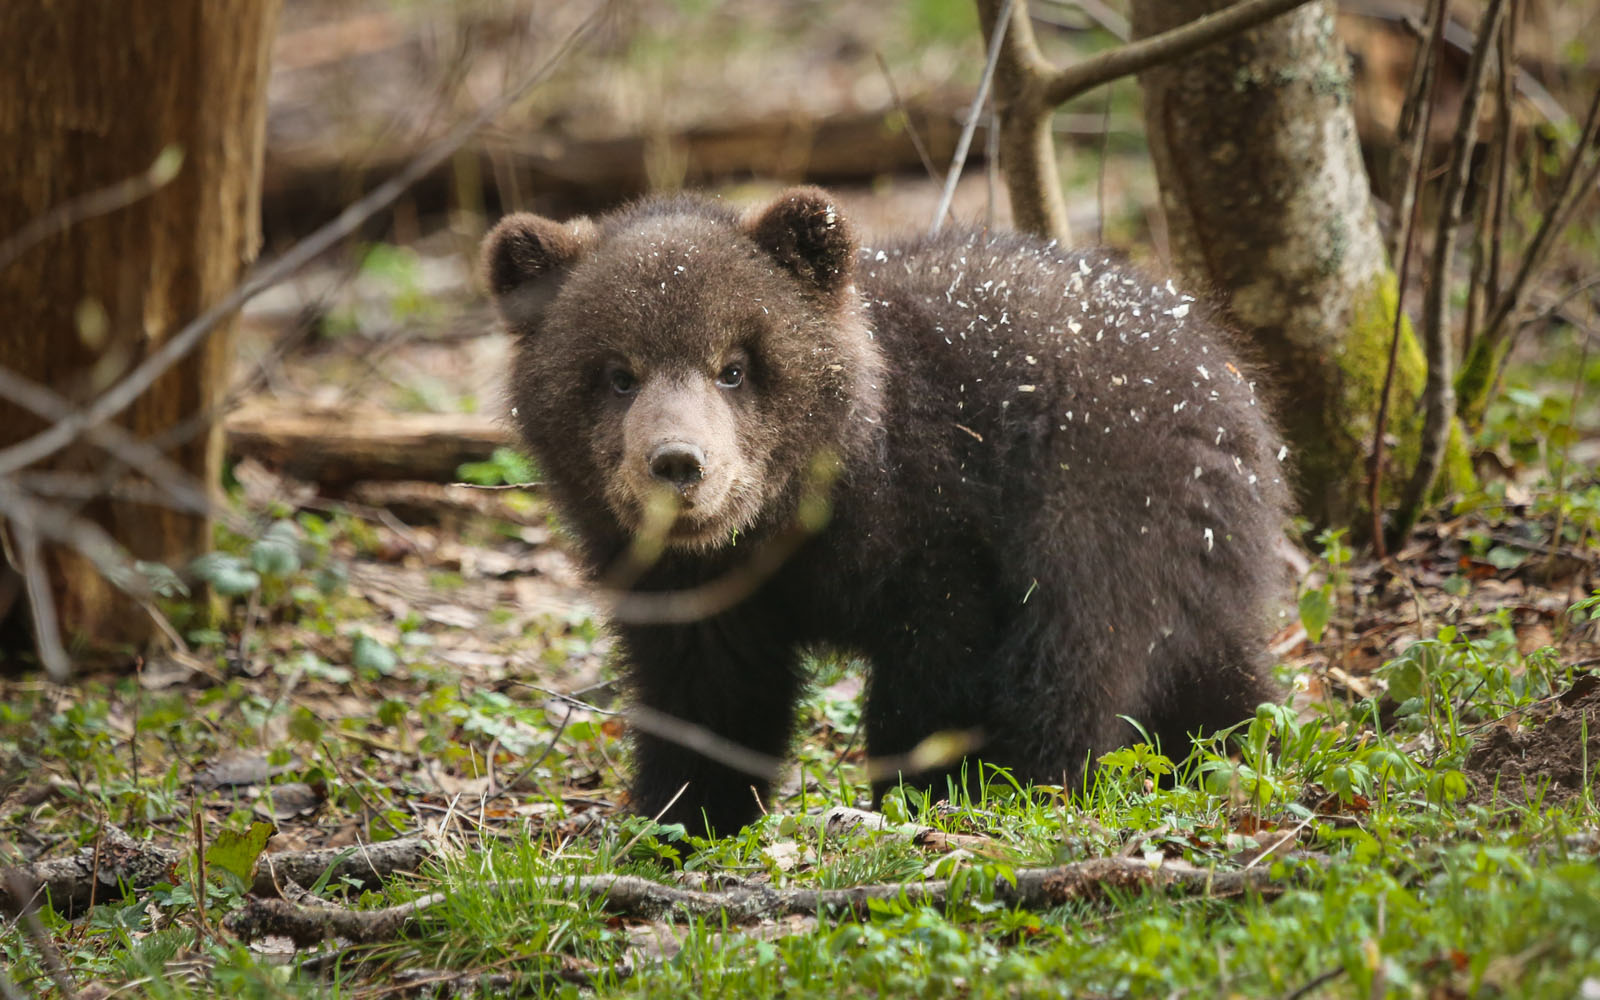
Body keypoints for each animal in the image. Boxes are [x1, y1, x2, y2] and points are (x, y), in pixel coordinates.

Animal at [482, 187, 1291, 837]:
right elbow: (707, 693)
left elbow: (942, 673)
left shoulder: (935, 531)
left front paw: (932, 790)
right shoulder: (689, 590)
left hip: (1108, 500)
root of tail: (1220, 364)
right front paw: (685, 812)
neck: (789, 522)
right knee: (1208, 666)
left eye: (735, 367)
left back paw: (1041, 780)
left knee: (1080, 651)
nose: (678, 463)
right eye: (617, 374)